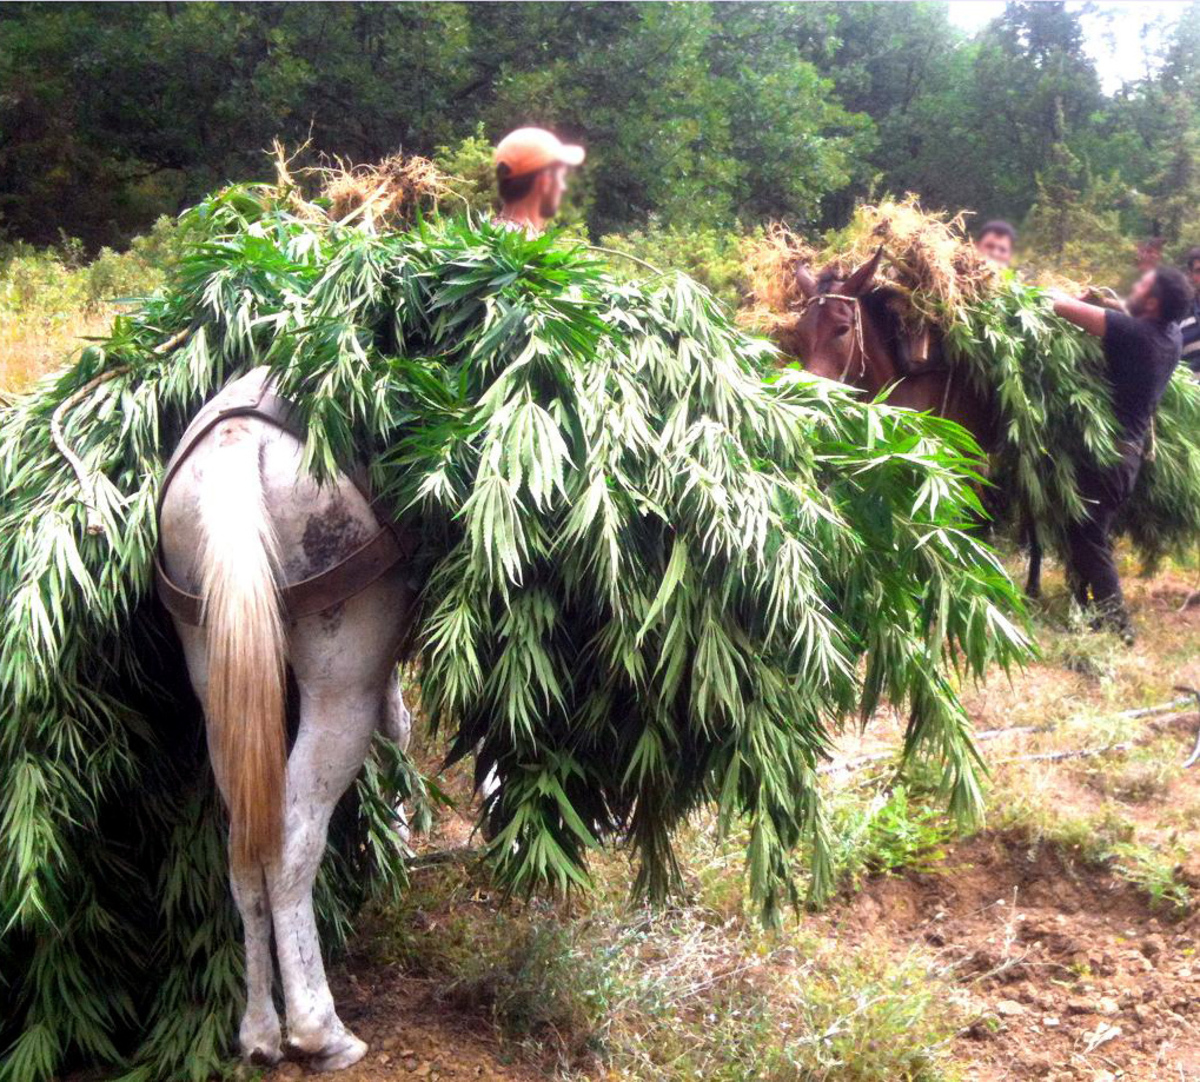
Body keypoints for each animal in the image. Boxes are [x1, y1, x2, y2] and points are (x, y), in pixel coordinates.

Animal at [158, 369, 417, 1070]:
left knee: (245, 848)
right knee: (294, 841)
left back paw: (258, 1032)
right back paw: (320, 1031)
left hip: (217, 674)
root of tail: (239, 441)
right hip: (340, 682)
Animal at [782, 249, 1046, 597]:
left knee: (1032, 505)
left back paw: (1032, 582)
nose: (808, 396)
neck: (899, 381)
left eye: (842, 328)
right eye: (800, 332)